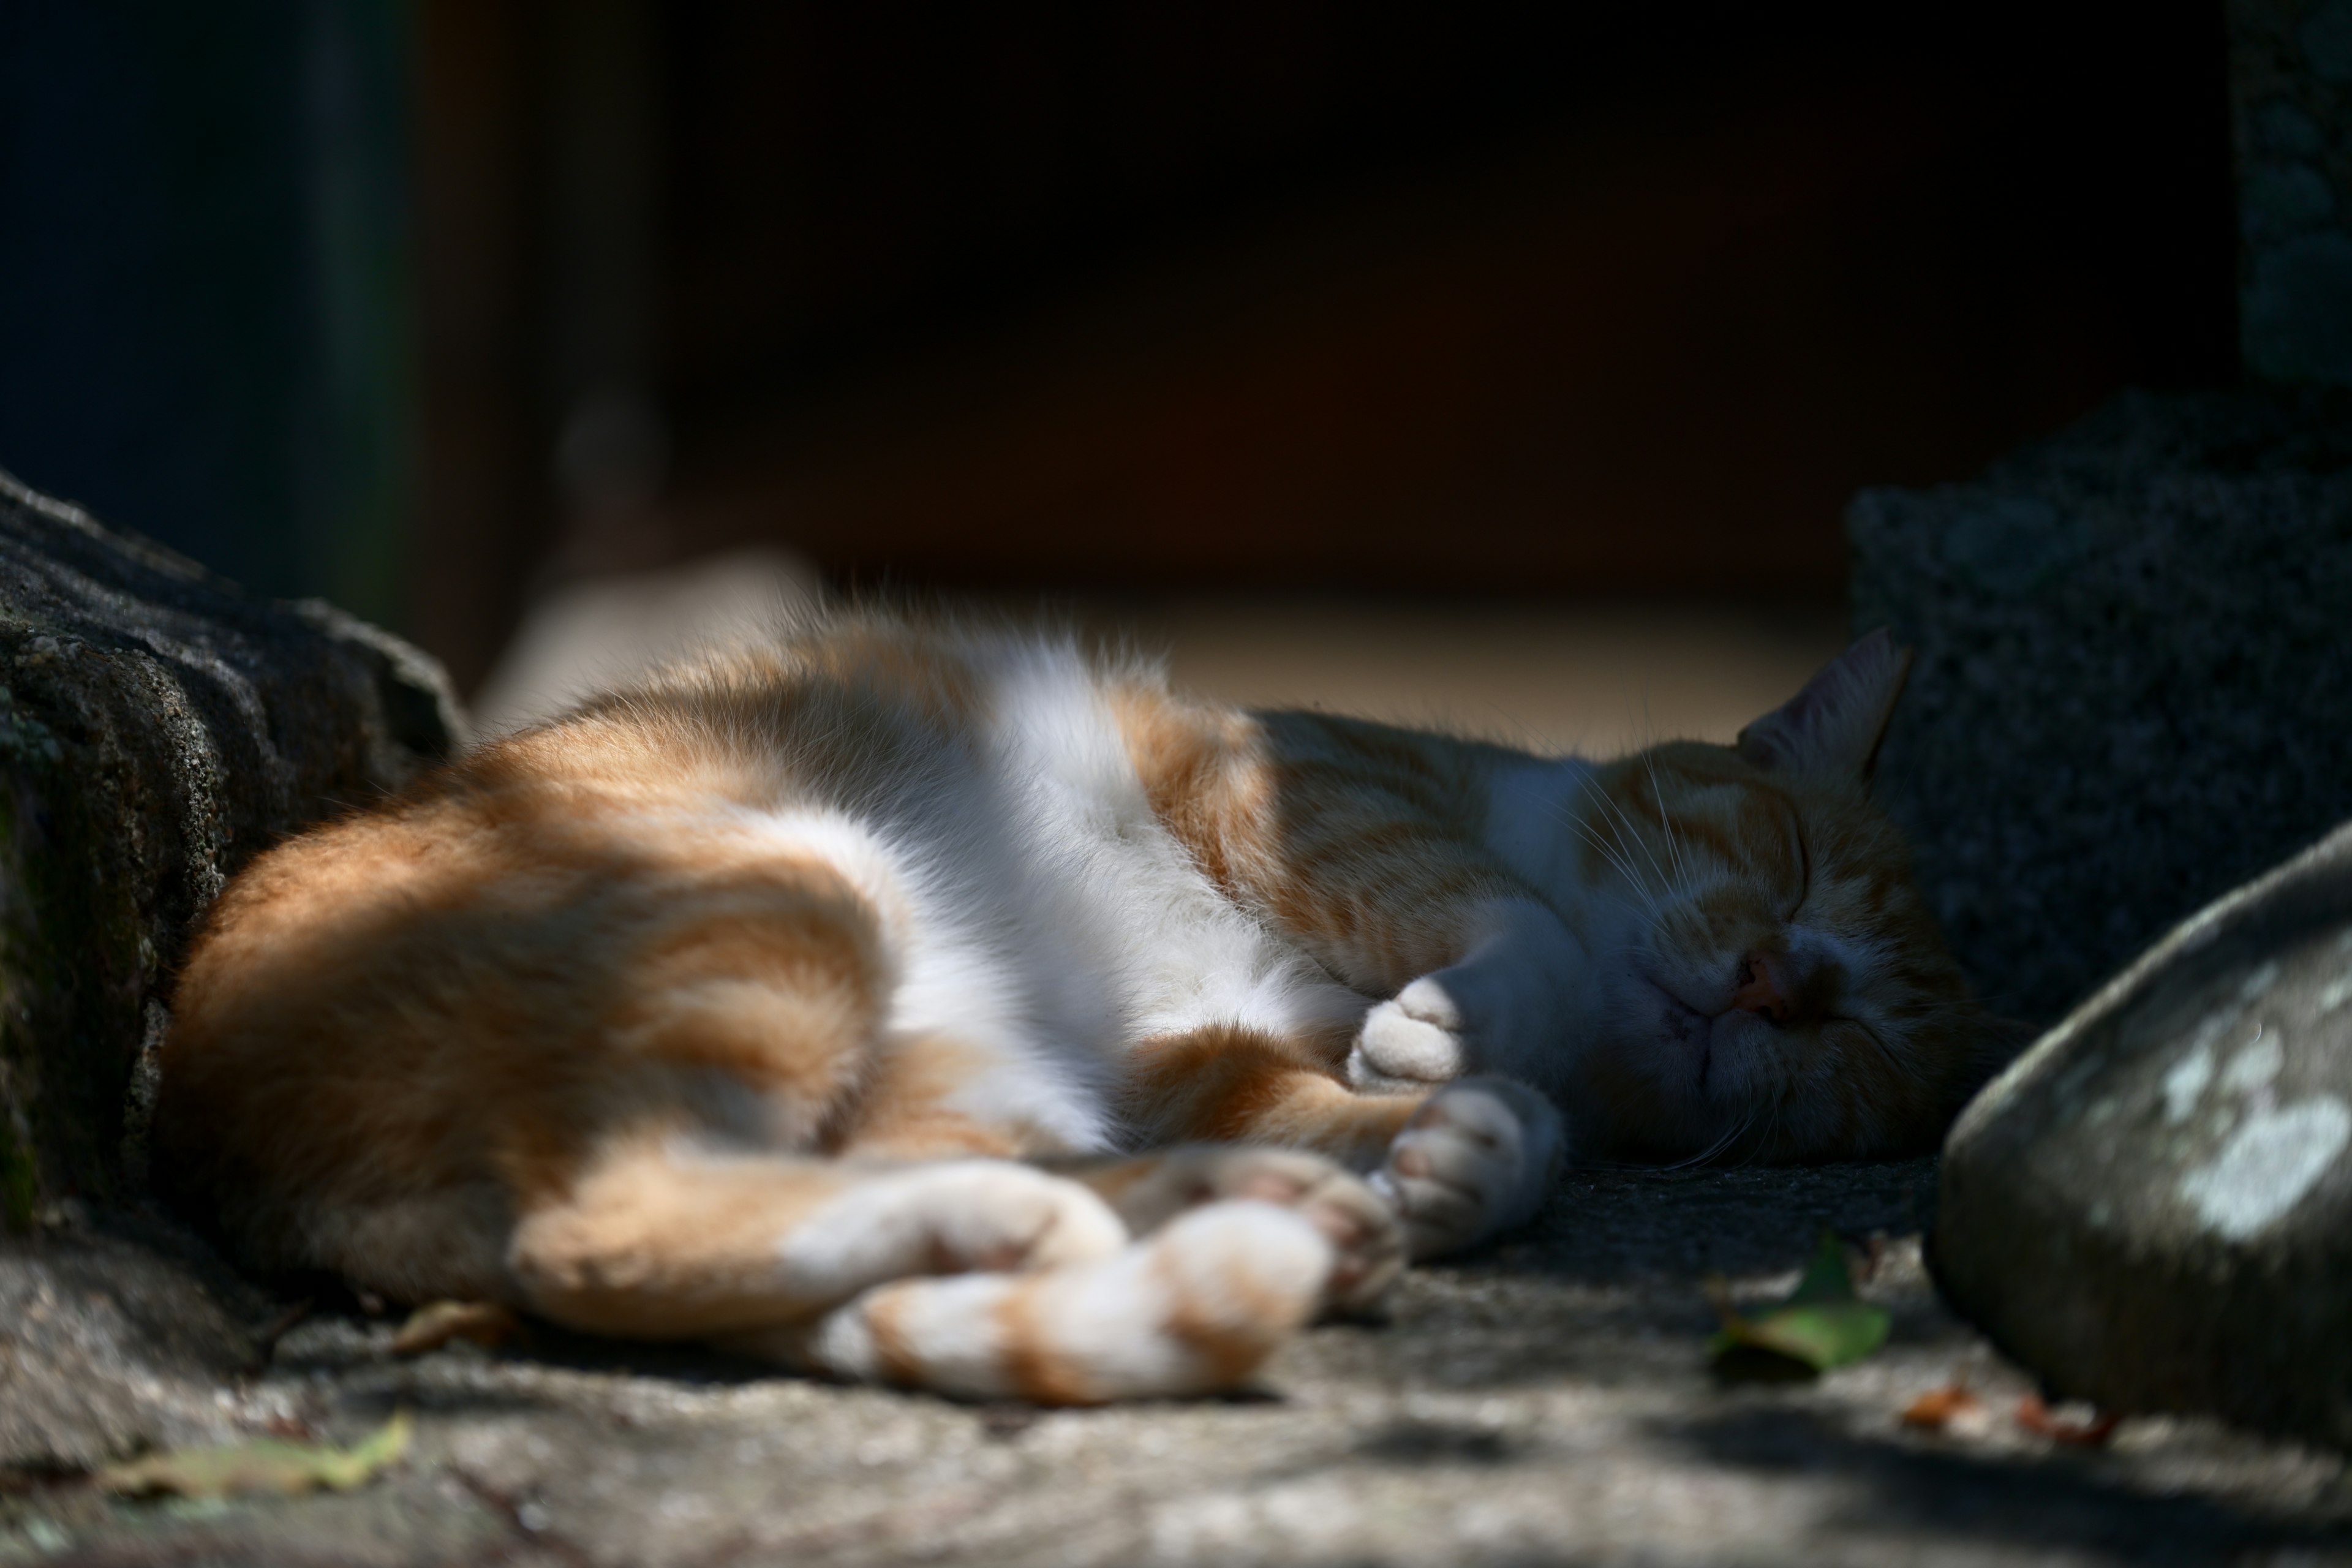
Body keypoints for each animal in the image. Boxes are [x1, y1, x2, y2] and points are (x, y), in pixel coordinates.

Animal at [151, 611, 1985, 1401]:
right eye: (1797, 866)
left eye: (1855, 1045)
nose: (1779, 978)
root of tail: (234, 1139)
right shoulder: (1298, 792)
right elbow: (1518, 935)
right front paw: (1450, 1046)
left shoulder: (1185, 1049)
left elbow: (1448, 1097)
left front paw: (1448, 1138)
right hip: (807, 890)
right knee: (611, 1225)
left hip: (959, 1049)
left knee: (797, 1197)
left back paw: (1273, 1212)